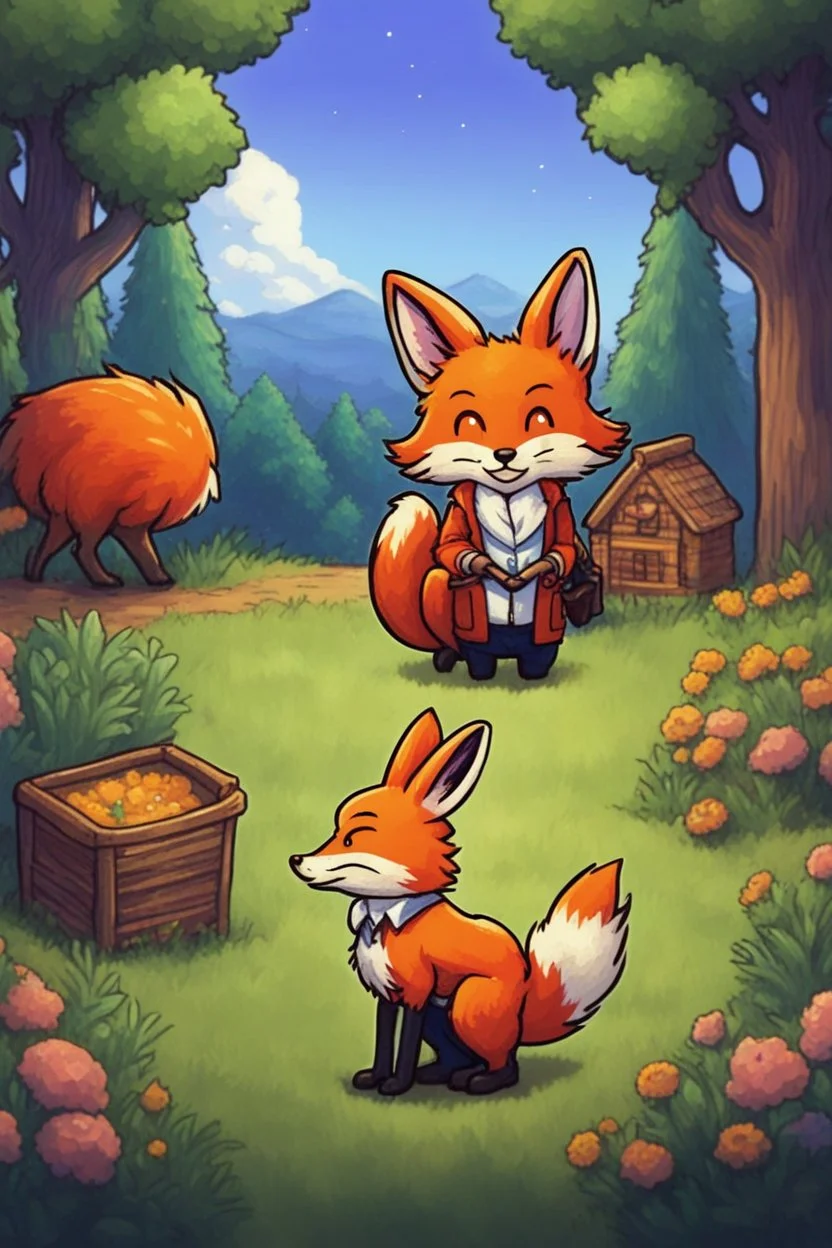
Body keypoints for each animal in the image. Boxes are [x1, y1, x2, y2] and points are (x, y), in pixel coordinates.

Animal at [0, 364, 219, 588]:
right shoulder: (139, 509)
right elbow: (140, 545)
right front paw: (159, 578)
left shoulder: (130, 517)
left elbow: (141, 547)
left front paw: (158, 577)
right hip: (91, 507)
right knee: (82, 549)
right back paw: (105, 580)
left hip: (66, 510)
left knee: (48, 545)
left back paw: (35, 576)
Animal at [289, 708, 630, 1096]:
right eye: (335, 831)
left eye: (351, 839)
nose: (297, 861)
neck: (385, 918)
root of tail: (523, 1006)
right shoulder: (388, 993)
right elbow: (383, 1039)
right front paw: (375, 1078)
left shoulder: (418, 992)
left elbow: (405, 1044)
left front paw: (396, 1084)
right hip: (444, 1016)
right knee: (459, 1058)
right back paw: (441, 1074)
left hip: (466, 1003)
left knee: (505, 1065)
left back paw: (479, 1081)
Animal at [369, 248, 629, 681]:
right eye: (470, 422)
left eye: (540, 418)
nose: (504, 454)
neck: (509, 496)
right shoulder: (458, 519)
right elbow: (453, 546)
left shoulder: (561, 513)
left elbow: (561, 549)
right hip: (441, 591)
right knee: (459, 644)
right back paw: (458, 661)